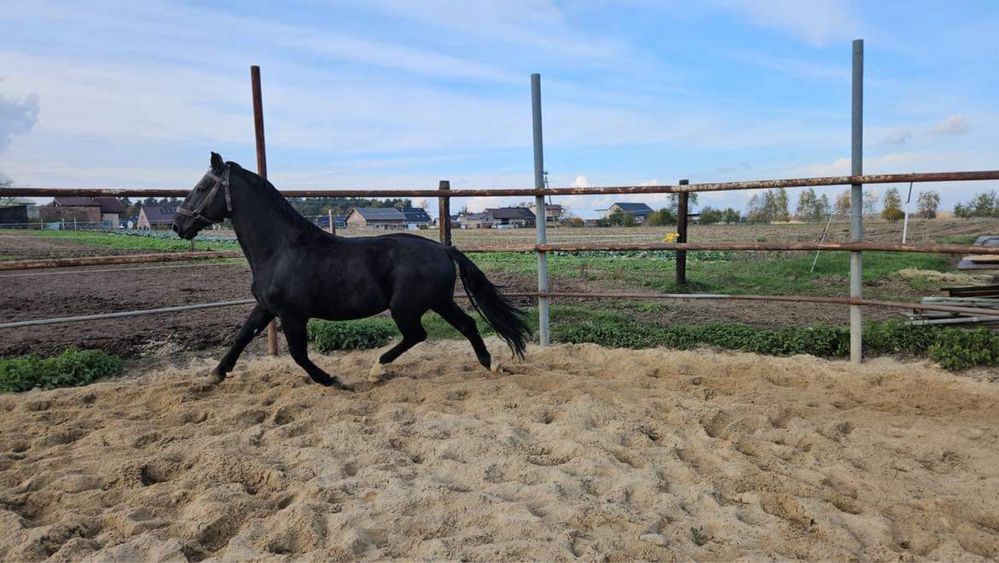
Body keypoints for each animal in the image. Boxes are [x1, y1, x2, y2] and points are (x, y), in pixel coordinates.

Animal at [172, 152, 532, 390]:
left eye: (202, 188)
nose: (178, 225)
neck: (281, 249)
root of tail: (443, 249)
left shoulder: (293, 315)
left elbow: (298, 354)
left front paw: (331, 379)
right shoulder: (266, 308)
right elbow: (243, 336)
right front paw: (215, 374)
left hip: (407, 307)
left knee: (417, 335)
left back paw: (376, 370)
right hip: (438, 301)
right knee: (467, 325)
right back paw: (491, 364)